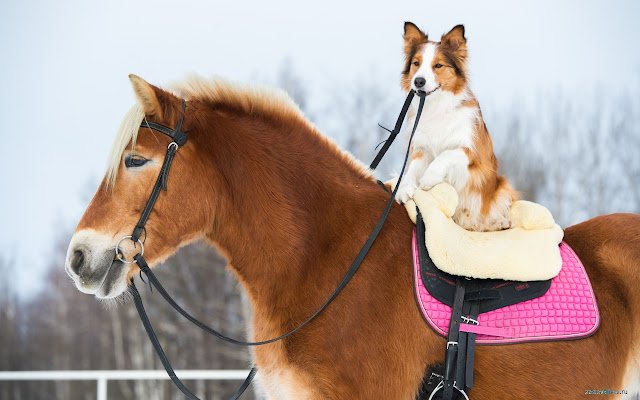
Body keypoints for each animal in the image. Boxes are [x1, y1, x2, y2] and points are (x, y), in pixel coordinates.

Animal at [396, 21, 520, 233]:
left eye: (438, 65)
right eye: (416, 63)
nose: (418, 81)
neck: (437, 107)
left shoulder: (473, 154)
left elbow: (447, 154)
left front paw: (429, 177)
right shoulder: (422, 147)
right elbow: (412, 166)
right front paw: (405, 187)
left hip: (502, 186)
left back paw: (498, 223)